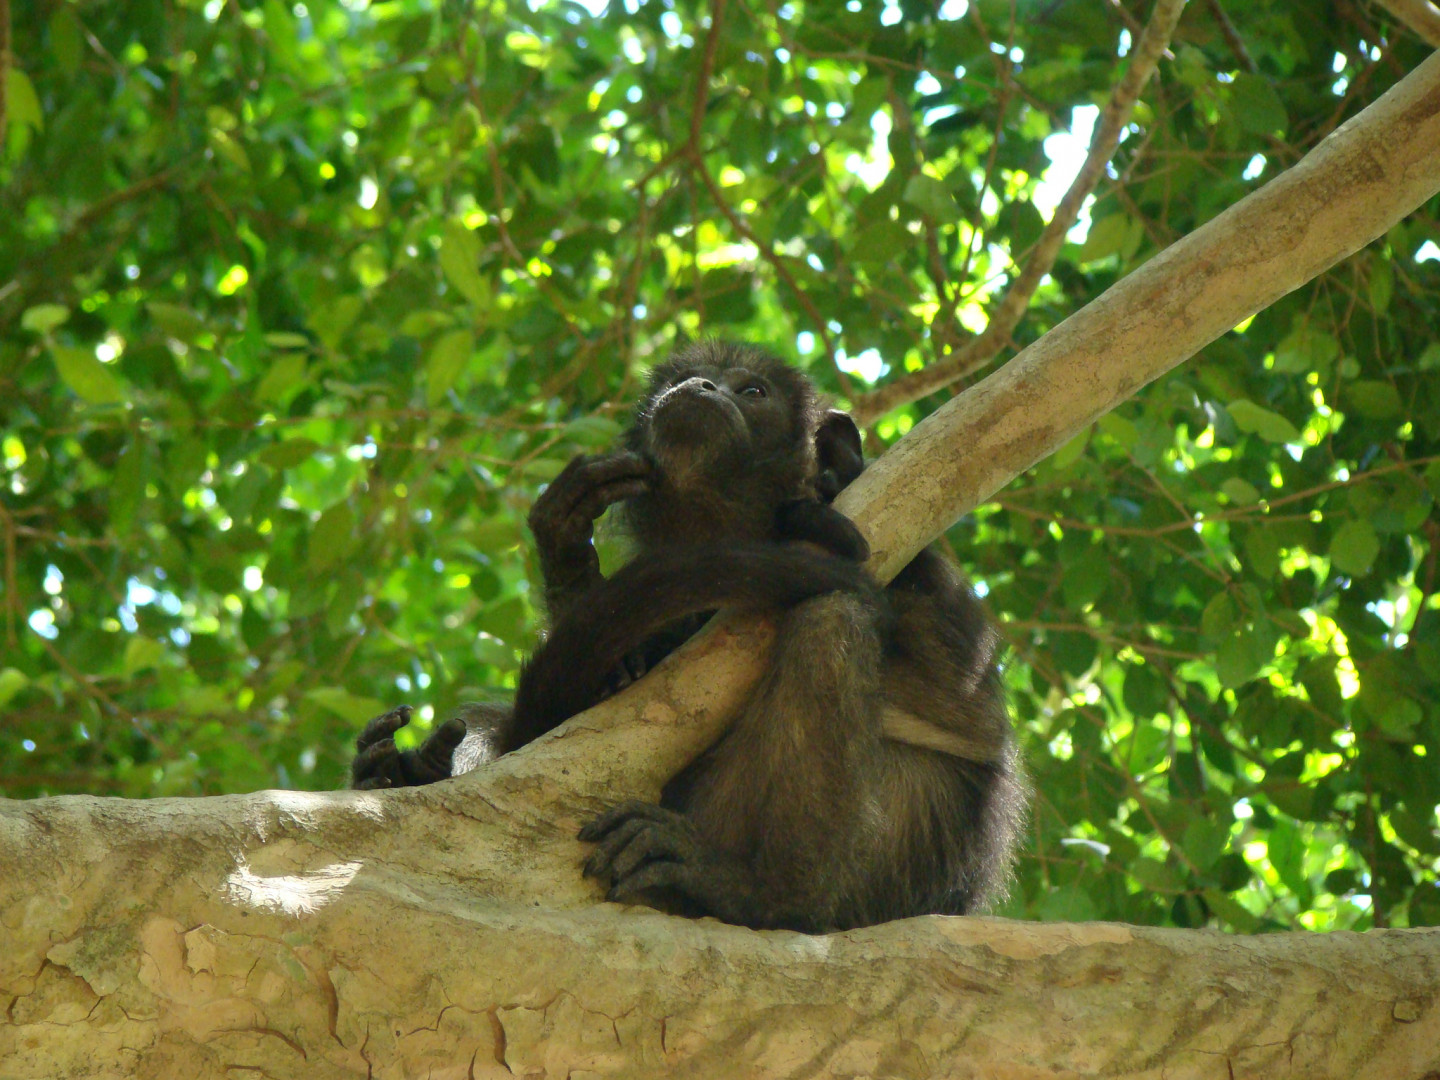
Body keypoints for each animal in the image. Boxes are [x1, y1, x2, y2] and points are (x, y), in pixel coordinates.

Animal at [351, 341, 1026, 932]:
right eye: (685, 377)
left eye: (752, 391)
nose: (699, 388)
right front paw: (569, 553)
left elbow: (952, 704)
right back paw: (400, 772)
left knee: (832, 620)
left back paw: (767, 896)